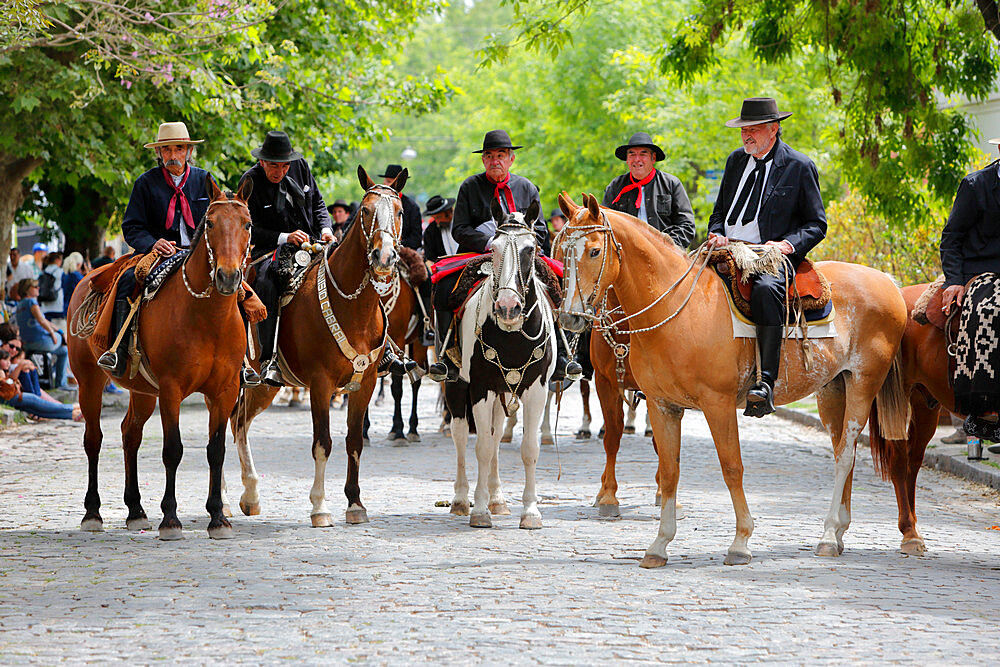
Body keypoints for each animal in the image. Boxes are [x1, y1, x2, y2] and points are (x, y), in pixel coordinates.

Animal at [67, 177, 254, 544]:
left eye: (247, 224)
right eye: (210, 224)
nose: (227, 277)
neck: (207, 317)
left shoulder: (224, 391)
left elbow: (216, 451)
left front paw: (217, 518)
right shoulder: (171, 389)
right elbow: (173, 450)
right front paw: (170, 519)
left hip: (140, 390)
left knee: (130, 435)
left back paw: (135, 510)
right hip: (89, 382)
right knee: (94, 439)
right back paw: (93, 512)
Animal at [230, 167, 406, 528]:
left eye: (399, 211)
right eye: (365, 211)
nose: (383, 257)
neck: (352, 306)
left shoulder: (365, 384)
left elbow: (354, 441)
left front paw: (355, 503)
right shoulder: (320, 384)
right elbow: (322, 443)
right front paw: (320, 507)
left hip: (264, 388)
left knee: (239, 422)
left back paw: (250, 497)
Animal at [444, 198, 556, 528]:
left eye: (530, 249)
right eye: (492, 249)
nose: (508, 307)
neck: (512, 334)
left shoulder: (537, 390)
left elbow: (528, 449)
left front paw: (530, 511)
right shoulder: (480, 387)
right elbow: (480, 447)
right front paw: (479, 511)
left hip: (502, 392)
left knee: (494, 437)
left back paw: (497, 499)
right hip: (458, 385)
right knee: (461, 436)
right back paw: (461, 499)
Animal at [556, 193, 916, 568]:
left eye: (594, 251)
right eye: (561, 249)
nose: (569, 317)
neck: (678, 309)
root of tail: (887, 281)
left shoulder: (718, 404)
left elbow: (732, 467)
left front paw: (741, 541)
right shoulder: (662, 405)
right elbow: (669, 470)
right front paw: (659, 545)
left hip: (863, 384)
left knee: (845, 454)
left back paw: (830, 535)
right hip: (833, 389)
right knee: (842, 452)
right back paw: (839, 532)